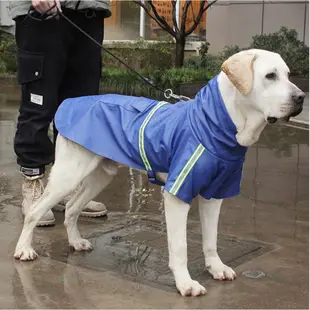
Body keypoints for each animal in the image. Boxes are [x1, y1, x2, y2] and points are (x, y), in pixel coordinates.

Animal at [13, 49, 302, 296]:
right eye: (270, 76)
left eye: (289, 74)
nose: (301, 98)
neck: (217, 124)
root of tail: (71, 103)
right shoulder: (177, 195)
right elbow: (180, 246)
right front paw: (185, 284)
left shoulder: (214, 194)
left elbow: (211, 239)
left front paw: (216, 268)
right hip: (69, 173)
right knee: (36, 210)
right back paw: (24, 249)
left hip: (100, 174)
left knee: (73, 207)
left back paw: (75, 242)